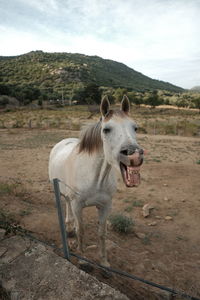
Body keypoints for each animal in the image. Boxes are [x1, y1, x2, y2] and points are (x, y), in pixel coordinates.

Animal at [49, 96, 145, 268]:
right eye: (106, 129)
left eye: (135, 127)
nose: (134, 155)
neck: (96, 179)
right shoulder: (78, 205)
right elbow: (81, 231)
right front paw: (82, 258)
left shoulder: (105, 206)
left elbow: (102, 233)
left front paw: (104, 261)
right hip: (60, 192)